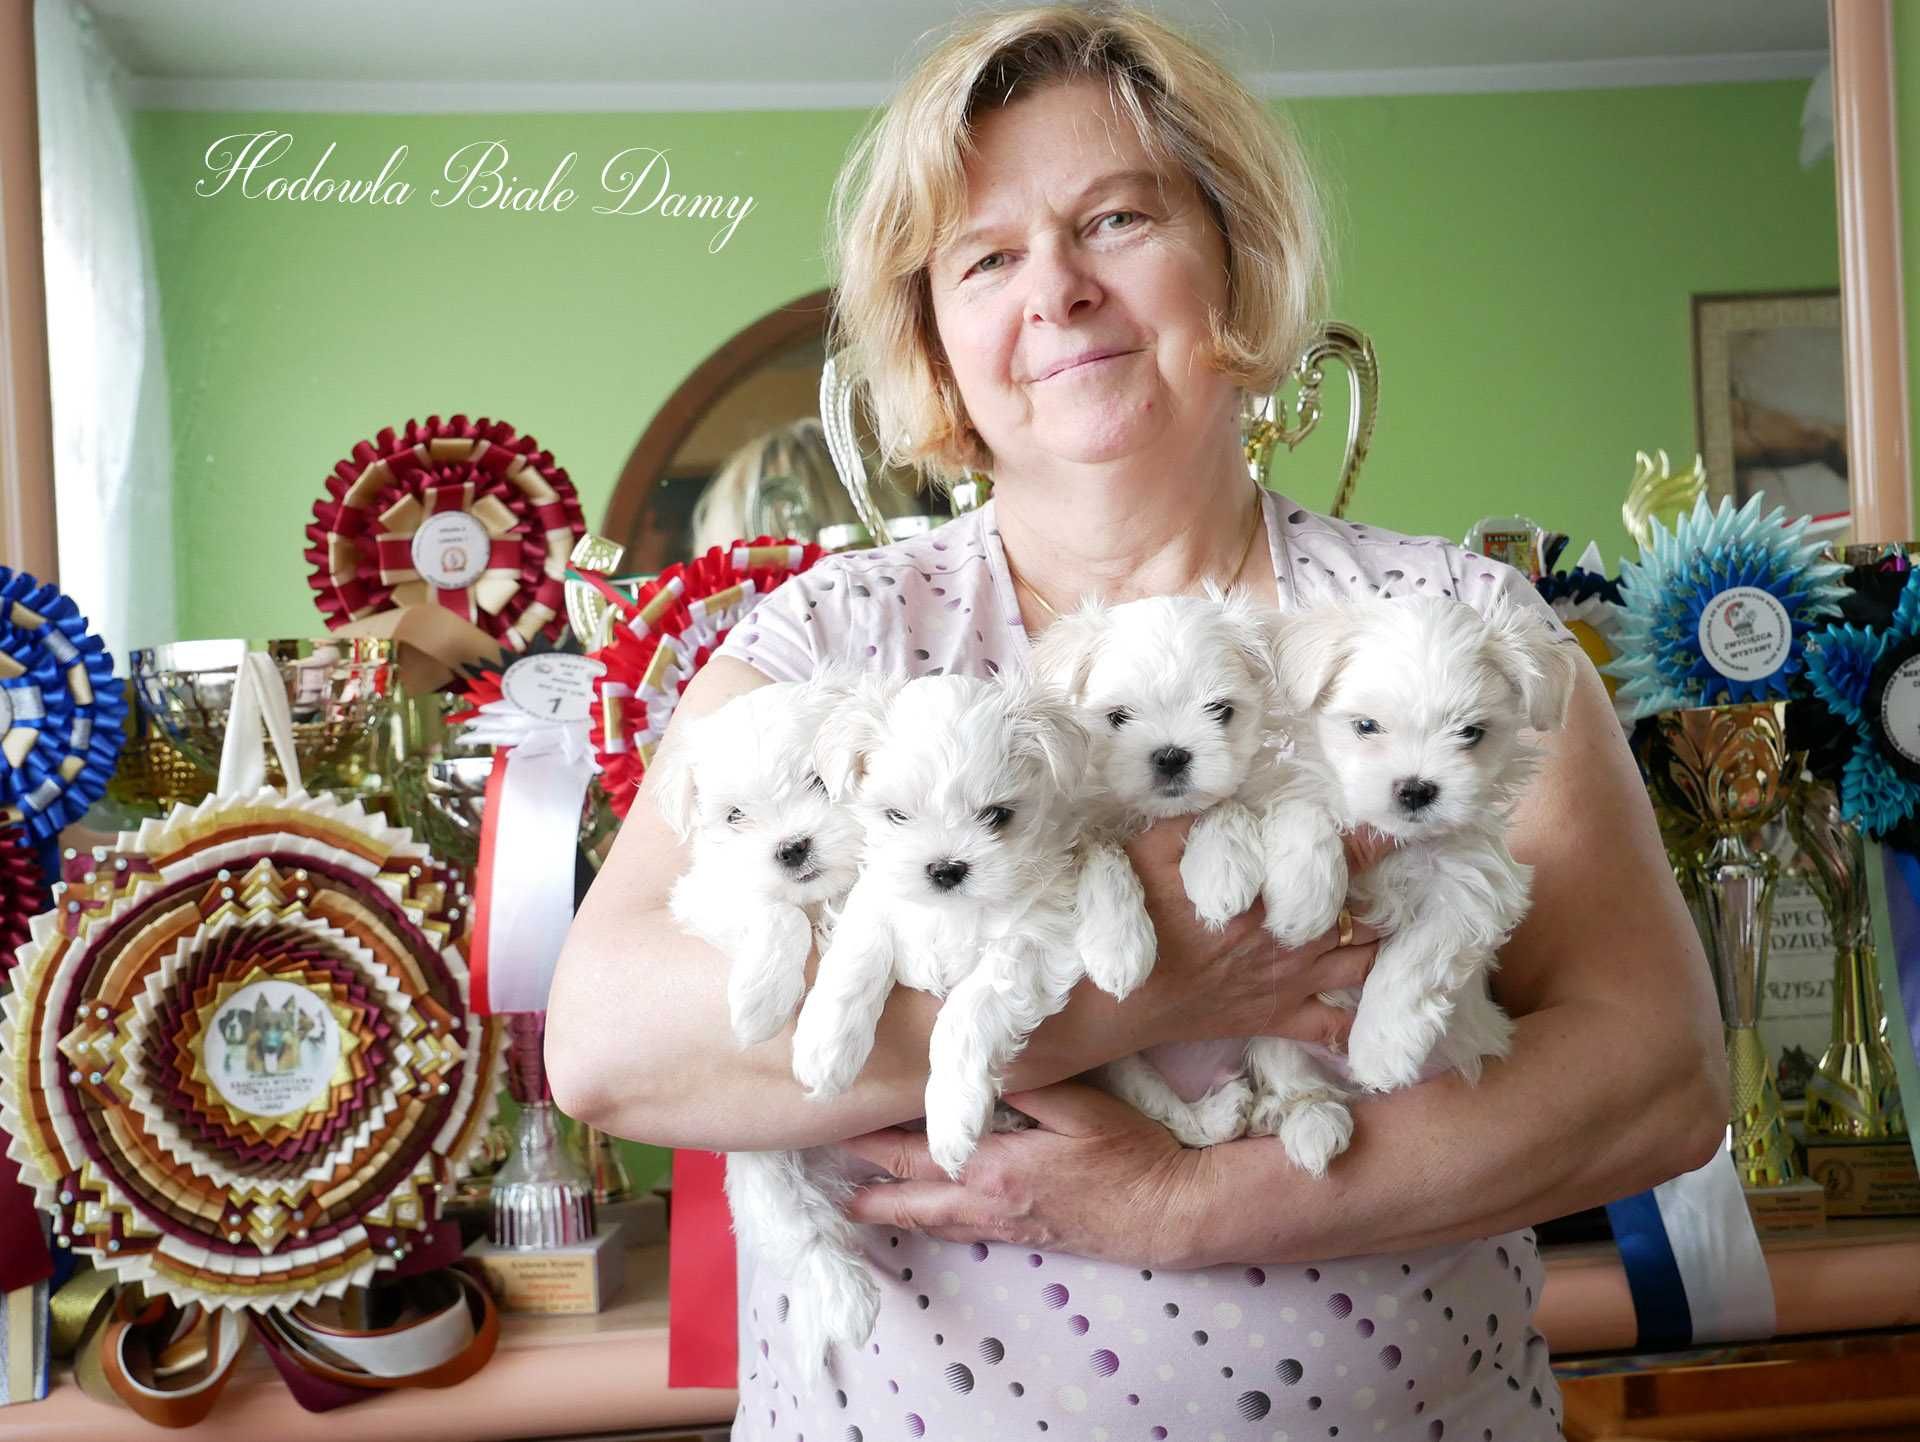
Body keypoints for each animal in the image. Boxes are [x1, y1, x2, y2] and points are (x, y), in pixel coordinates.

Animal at [652, 683, 879, 1382]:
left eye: (820, 781)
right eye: (734, 817)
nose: (790, 848)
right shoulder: (705, 895)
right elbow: (776, 912)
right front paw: (761, 1000)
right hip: (763, 1174)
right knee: (803, 1237)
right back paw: (845, 1294)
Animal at [787, 672, 1105, 1175]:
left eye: (997, 815)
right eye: (897, 816)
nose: (945, 868)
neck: (951, 910)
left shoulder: (1035, 936)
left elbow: (969, 1010)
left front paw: (954, 1114)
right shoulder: (877, 899)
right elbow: (858, 956)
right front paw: (825, 1046)